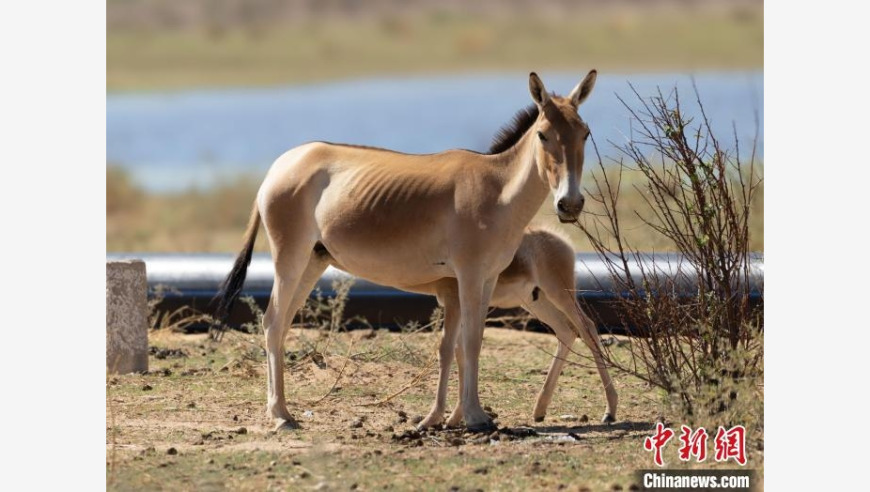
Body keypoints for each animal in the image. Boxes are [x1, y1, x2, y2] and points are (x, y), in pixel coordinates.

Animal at [215, 70, 604, 430]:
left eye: (585, 133)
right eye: (543, 134)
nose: (570, 205)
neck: (498, 192)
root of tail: (277, 168)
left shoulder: (488, 277)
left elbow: (471, 342)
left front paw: (464, 415)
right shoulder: (469, 275)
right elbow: (470, 342)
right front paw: (475, 417)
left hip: (313, 261)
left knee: (279, 324)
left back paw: (282, 411)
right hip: (289, 258)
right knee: (272, 321)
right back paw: (280, 415)